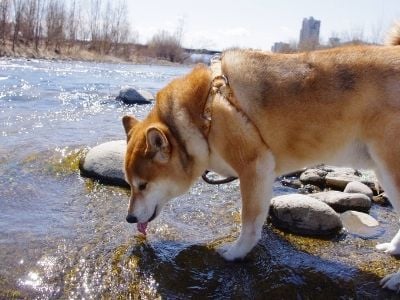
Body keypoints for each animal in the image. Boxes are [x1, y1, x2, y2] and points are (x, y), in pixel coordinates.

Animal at [121, 24, 400, 292]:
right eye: (130, 185)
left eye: (143, 185)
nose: (129, 218)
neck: (204, 114)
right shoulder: (263, 175)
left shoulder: (254, 167)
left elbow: (250, 221)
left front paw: (237, 252)